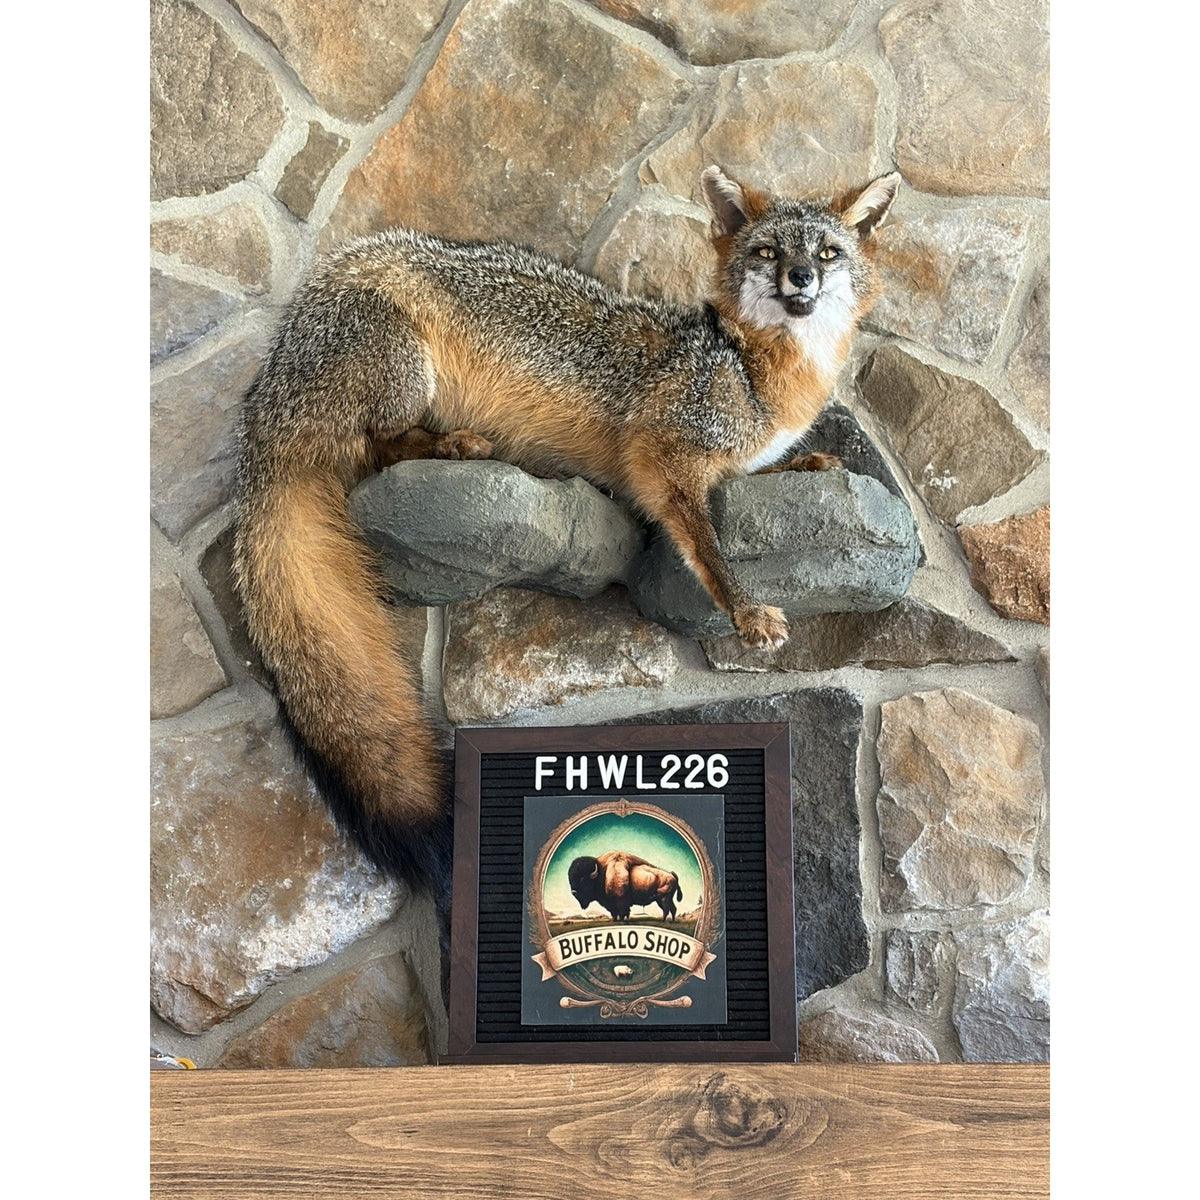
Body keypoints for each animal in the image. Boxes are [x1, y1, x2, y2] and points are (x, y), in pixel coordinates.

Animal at [232, 166, 901, 892]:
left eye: (828, 253)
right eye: (769, 252)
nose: (801, 277)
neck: (756, 370)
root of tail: (265, 395)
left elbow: (758, 473)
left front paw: (807, 459)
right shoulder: (660, 452)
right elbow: (705, 542)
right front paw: (743, 608)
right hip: (402, 370)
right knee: (371, 448)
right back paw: (456, 445)